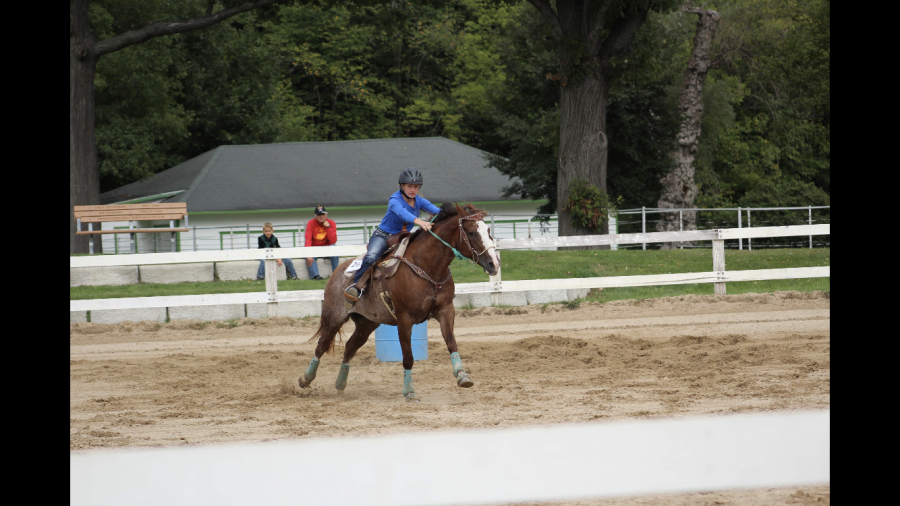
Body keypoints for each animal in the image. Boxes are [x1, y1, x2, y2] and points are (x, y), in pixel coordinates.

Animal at [300, 204, 500, 402]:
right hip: (334, 316)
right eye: (472, 233)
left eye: (488, 230)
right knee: (321, 345)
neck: (427, 266)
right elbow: (408, 356)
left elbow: (451, 343)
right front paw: (409, 391)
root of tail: (337, 272)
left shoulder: (446, 311)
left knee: (350, 348)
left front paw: (462, 376)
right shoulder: (404, 319)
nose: (494, 264)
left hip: (367, 323)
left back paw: (340, 384)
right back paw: (305, 379)